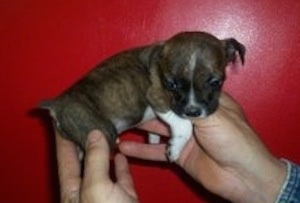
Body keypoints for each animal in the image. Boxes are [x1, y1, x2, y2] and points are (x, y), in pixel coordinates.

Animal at [40, 31, 246, 162]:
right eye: (171, 85)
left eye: (216, 82)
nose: (193, 111)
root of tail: (56, 104)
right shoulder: (158, 98)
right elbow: (183, 126)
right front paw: (175, 148)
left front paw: (154, 139)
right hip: (100, 130)